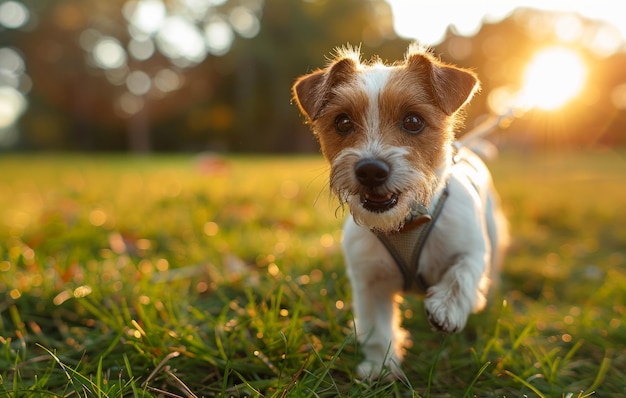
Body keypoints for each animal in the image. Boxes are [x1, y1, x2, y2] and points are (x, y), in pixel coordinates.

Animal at [292, 43, 508, 380]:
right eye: (342, 122)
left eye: (413, 121)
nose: (370, 170)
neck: (406, 224)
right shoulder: (369, 282)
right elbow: (377, 329)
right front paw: (380, 368)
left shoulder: (470, 250)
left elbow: (462, 274)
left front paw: (447, 308)